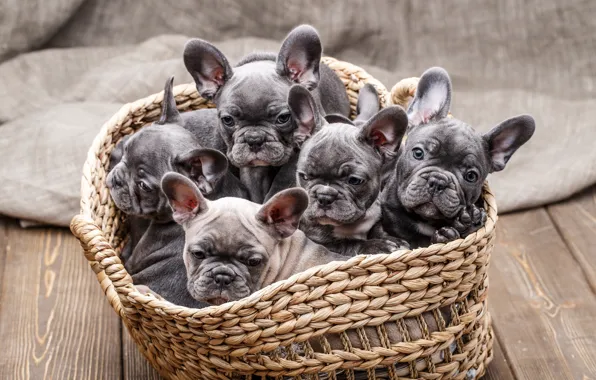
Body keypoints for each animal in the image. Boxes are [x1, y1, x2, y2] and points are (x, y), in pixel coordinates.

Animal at [292, 83, 412, 255]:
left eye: (354, 180)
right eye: (304, 177)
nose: (324, 195)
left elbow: (378, 229)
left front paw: (392, 239)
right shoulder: (318, 239)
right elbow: (349, 243)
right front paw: (378, 246)